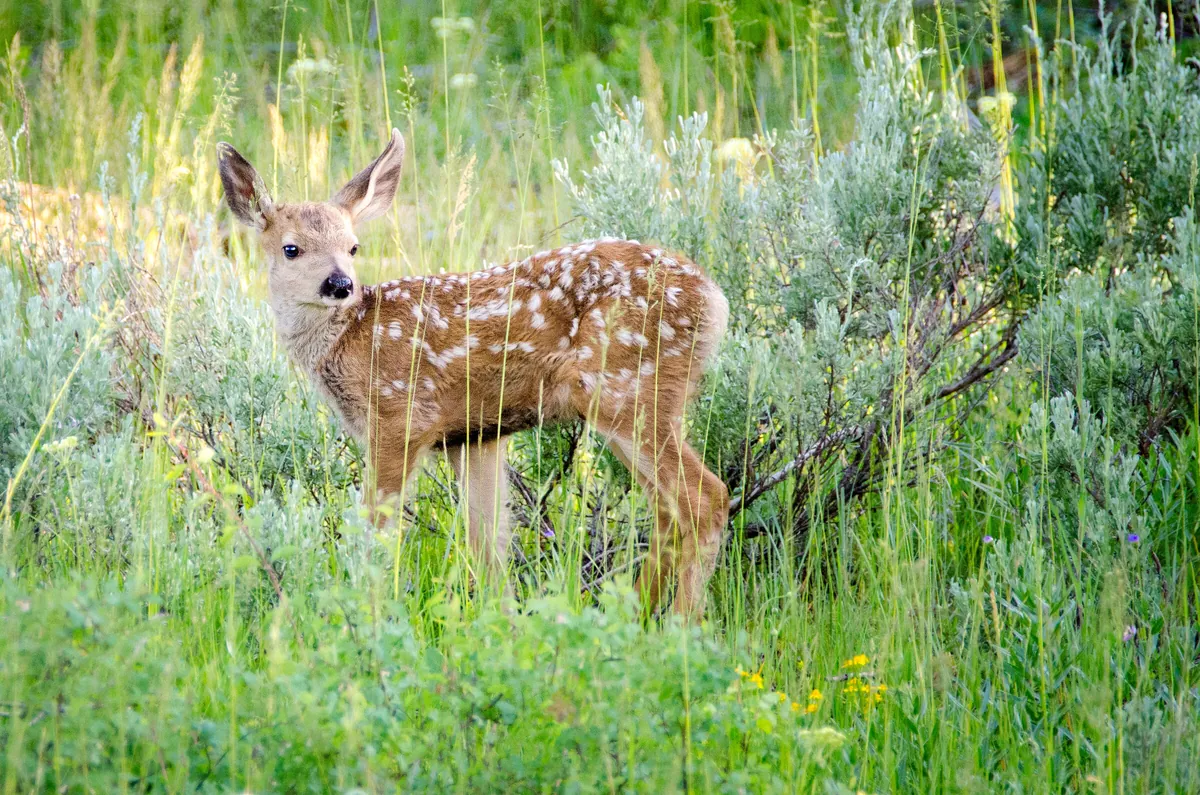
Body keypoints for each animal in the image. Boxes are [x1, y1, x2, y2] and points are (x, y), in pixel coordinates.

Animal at [216, 129, 730, 617]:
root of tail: (715, 298)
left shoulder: (399, 417)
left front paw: (365, 614)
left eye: (353, 247)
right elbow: (489, 546)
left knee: (706, 499)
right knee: (667, 508)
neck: (348, 339)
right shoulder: (475, 434)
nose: (340, 284)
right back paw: (635, 615)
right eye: (291, 249)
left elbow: (375, 537)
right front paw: (502, 625)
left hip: (626, 389)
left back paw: (680, 625)